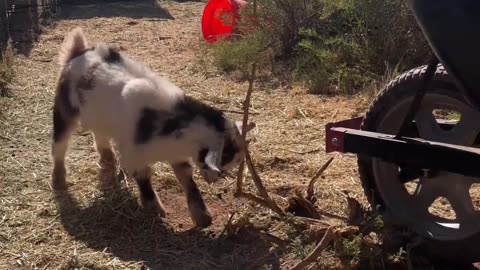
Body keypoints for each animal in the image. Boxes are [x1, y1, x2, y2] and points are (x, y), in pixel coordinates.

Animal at [51, 28, 255, 228]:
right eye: (223, 158)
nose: (214, 179)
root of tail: (78, 52)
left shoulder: (177, 153)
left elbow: (187, 179)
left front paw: (203, 218)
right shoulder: (133, 154)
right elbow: (143, 177)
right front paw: (155, 209)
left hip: (99, 116)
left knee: (99, 133)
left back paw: (108, 160)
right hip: (64, 110)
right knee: (59, 144)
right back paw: (58, 182)